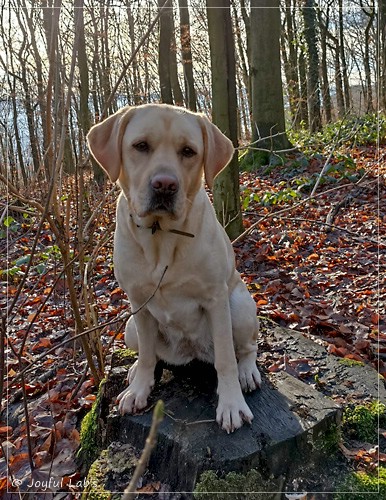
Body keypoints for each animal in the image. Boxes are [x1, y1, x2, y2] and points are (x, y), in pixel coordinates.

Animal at [88, 103, 260, 432]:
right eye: (141, 146)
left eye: (188, 151)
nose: (165, 185)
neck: (162, 235)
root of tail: (191, 351)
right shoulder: (138, 302)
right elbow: (146, 354)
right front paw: (139, 388)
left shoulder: (216, 299)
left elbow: (226, 360)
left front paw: (231, 404)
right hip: (129, 327)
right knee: (151, 353)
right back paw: (135, 373)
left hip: (240, 306)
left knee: (244, 349)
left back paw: (247, 372)